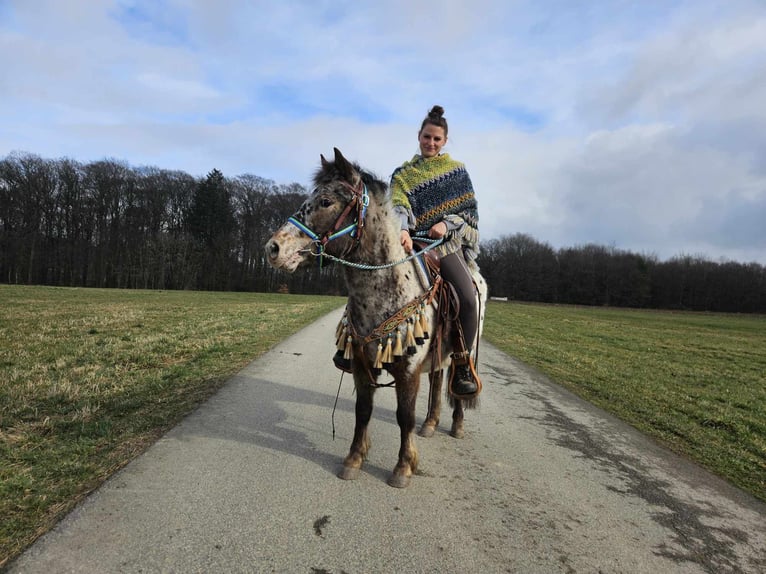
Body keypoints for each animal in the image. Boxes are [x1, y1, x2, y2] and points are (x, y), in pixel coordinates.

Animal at [268, 148, 488, 490]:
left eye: (326, 201)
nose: (273, 248)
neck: (382, 290)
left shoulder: (408, 370)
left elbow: (404, 416)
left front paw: (403, 467)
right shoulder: (361, 364)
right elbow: (363, 411)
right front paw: (354, 459)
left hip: (468, 348)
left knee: (457, 381)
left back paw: (457, 424)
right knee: (438, 380)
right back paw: (430, 423)